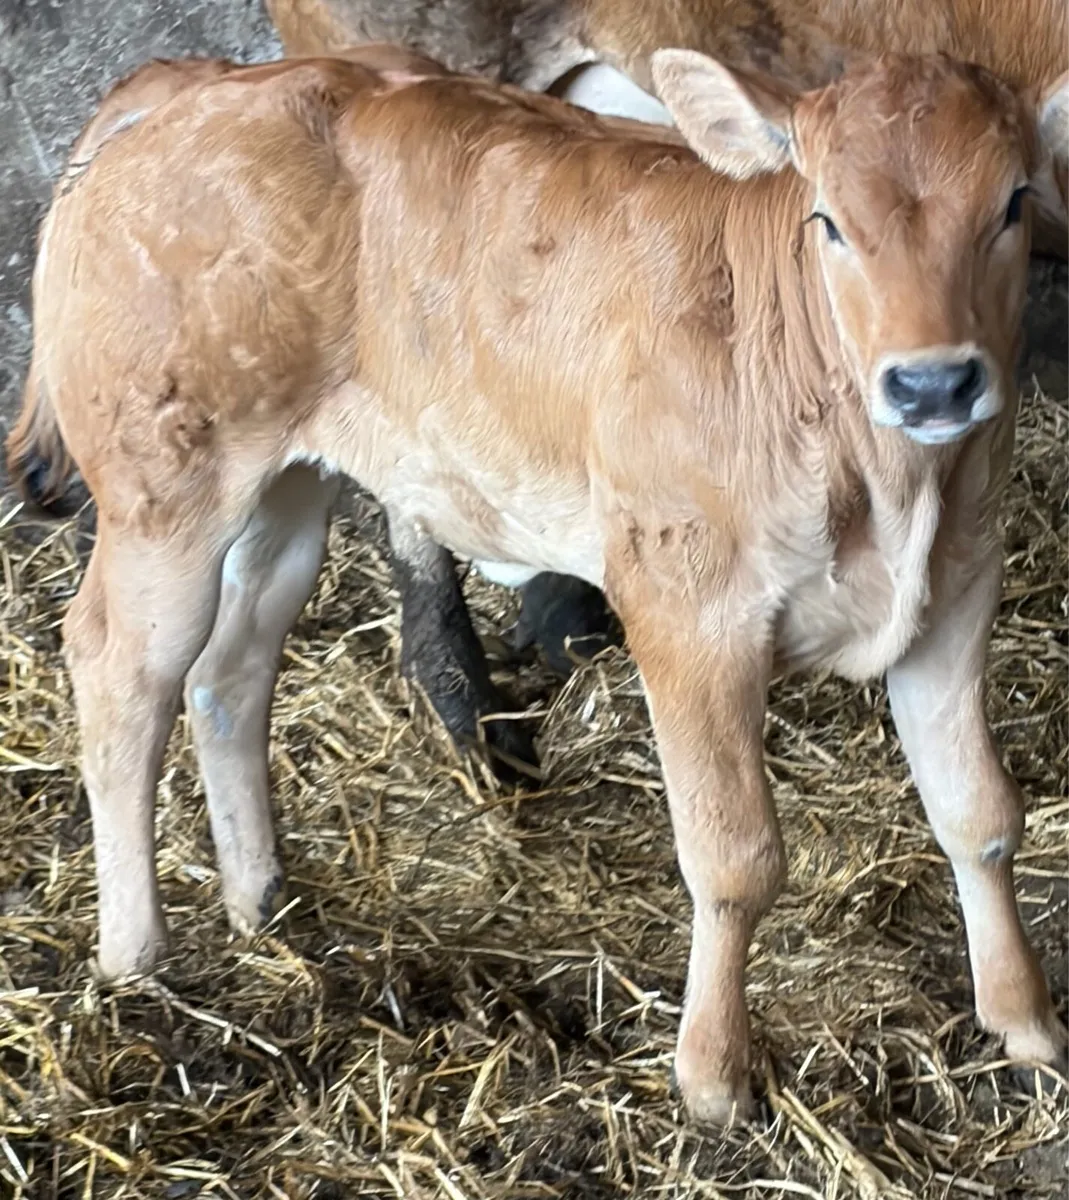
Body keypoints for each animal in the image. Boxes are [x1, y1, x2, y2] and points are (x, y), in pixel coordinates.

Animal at [6, 43, 1067, 1123]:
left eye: (1013, 201)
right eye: (828, 221)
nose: (931, 384)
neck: (893, 491)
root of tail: (192, 81)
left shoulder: (957, 592)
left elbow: (980, 815)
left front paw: (1025, 1025)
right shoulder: (685, 606)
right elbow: (733, 859)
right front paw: (715, 1080)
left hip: (286, 487)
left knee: (232, 669)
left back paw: (262, 903)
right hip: (163, 493)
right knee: (119, 672)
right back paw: (137, 959)